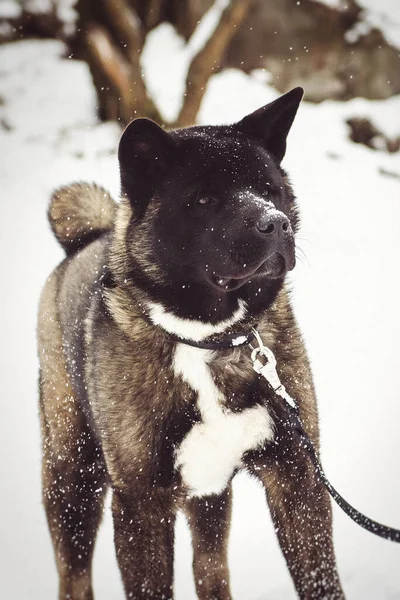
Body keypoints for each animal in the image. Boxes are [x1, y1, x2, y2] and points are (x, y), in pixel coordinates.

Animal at [38, 89, 344, 600]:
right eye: (203, 199)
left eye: (271, 189)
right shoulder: (141, 505)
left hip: (209, 496)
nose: (276, 224)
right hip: (72, 479)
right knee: (73, 576)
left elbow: (321, 581)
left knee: (210, 568)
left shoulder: (297, 477)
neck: (207, 341)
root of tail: (83, 240)